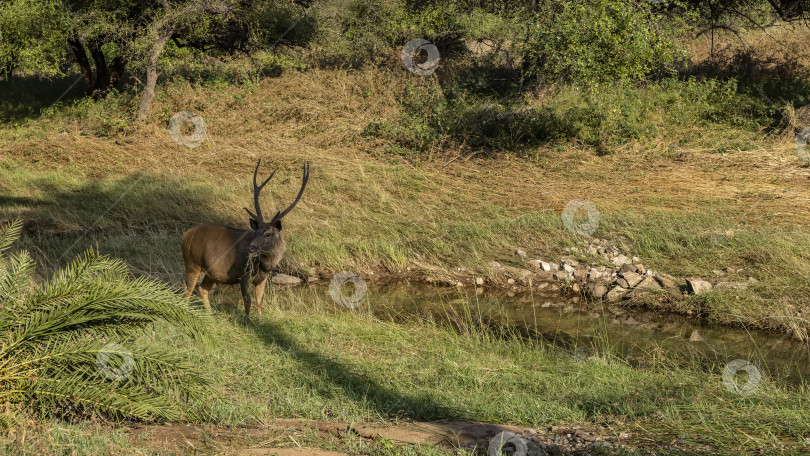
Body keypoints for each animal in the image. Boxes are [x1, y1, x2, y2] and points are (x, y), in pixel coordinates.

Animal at [182, 161, 310, 318]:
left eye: (268, 234)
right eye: (256, 232)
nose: (251, 247)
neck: (265, 265)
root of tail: (186, 234)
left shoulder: (263, 278)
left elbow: (260, 301)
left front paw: (260, 320)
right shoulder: (243, 273)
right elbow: (247, 300)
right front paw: (247, 320)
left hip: (210, 271)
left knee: (202, 288)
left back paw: (209, 314)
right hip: (191, 262)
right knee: (187, 290)